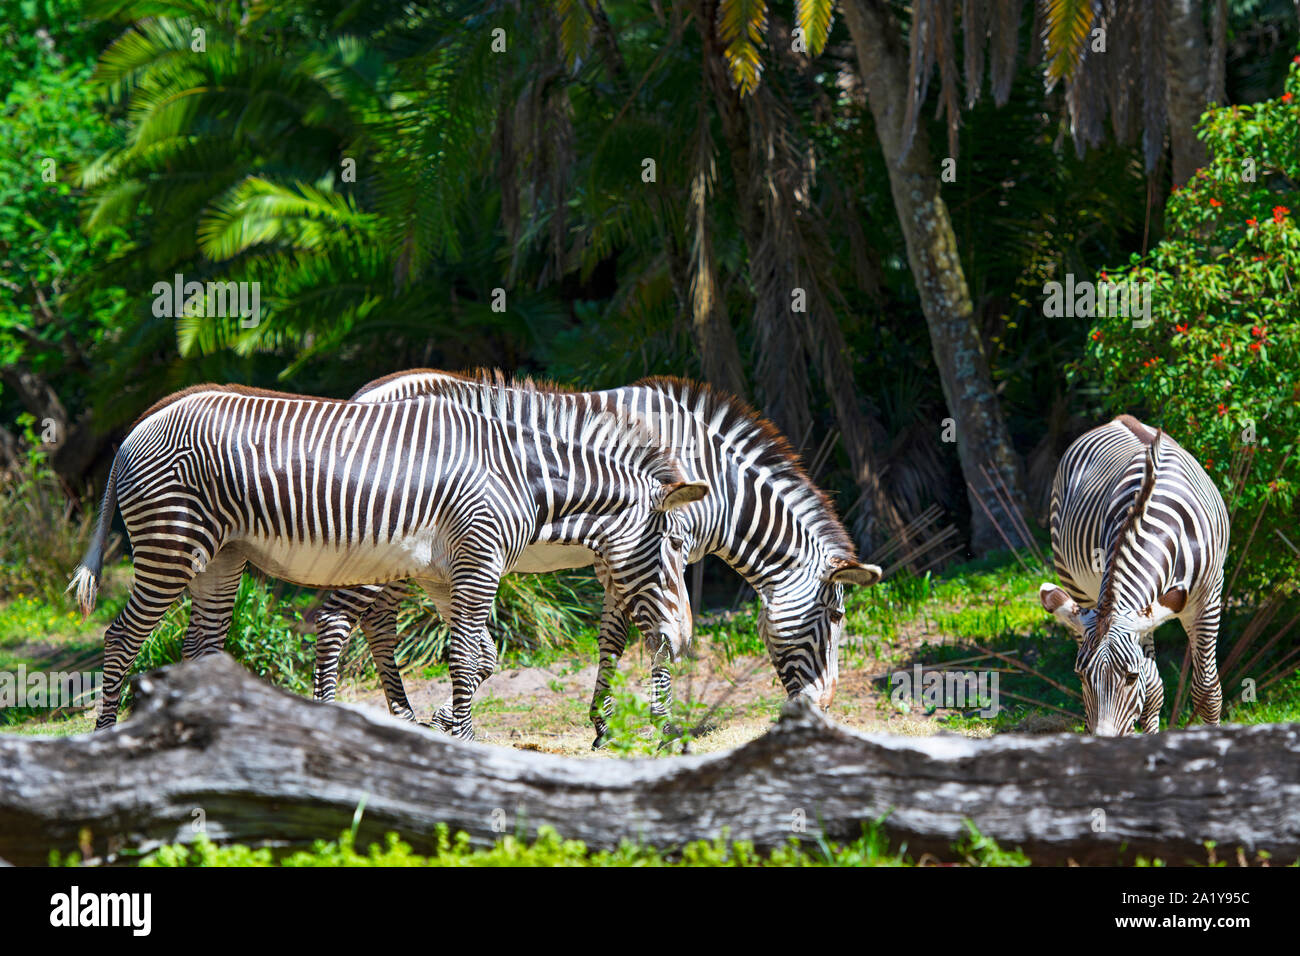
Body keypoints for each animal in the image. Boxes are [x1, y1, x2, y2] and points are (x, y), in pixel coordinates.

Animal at [64, 377, 707, 738]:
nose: (683, 641)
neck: (523, 478)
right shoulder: (478, 560)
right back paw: (107, 738)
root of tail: (136, 428)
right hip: (171, 548)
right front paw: (462, 739)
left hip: (220, 560)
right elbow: (466, 656)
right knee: (120, 637)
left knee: (200, 647)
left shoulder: (448, 574)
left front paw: (446, 727)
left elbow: (482, 657)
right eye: (676, 547)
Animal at [308, 369, 878, 749]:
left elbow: (614, 637)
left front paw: (604, 726)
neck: (717, 481)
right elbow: (650, 639)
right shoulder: (647, 549)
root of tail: (359, 395)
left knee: (379, 623)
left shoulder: (626, 556)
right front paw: (660, 728)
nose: (826, 707)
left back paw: (409, 721)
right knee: (349, 621)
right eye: (835, 618)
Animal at [1034, 416, 1227, 738]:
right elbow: (1153, 692)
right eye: (1081, 677)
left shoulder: (1206, 600)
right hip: (1074, 582)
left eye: (1130, 677)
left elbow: (1206, 691)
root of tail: (1119, 419)